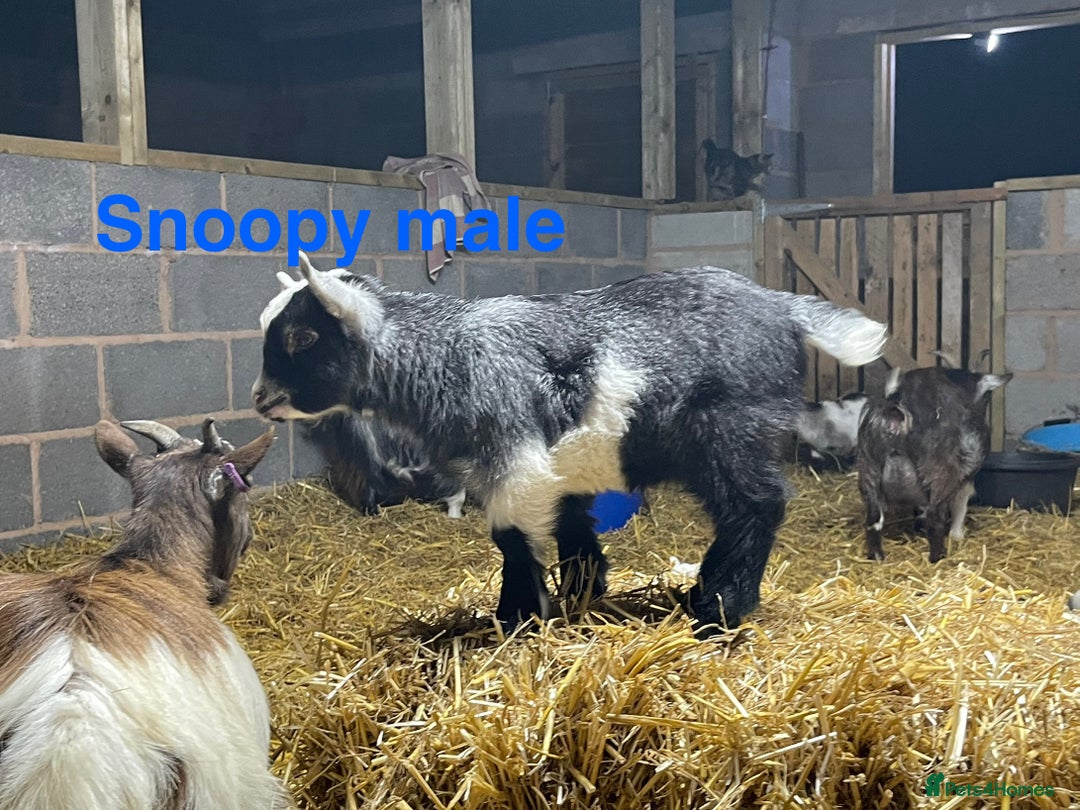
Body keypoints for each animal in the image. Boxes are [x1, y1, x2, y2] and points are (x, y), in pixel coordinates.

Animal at [856, 367, 1011, 563]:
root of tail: (897, 410)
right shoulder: (966, 475)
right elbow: (961, 501)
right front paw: (957, 534)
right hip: (939, 472)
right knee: (934, 516)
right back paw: (939, 557)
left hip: (868, 470)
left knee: (873, 520)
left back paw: (877, 557)